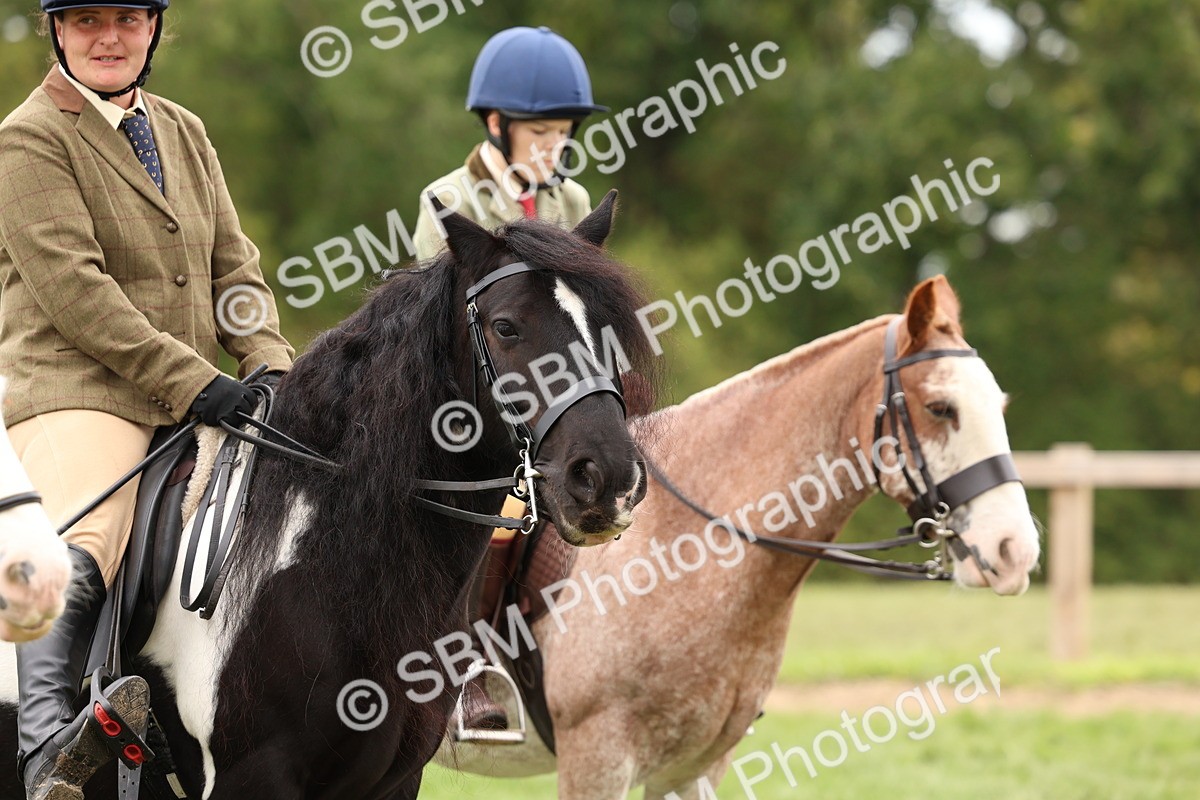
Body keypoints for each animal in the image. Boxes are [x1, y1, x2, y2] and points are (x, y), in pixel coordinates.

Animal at [439, 275, 1042, 798]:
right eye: (942, 408)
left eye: (999, 406)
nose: (1015, 550)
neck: (681, 551)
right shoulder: (597, 758)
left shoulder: (692, 769)